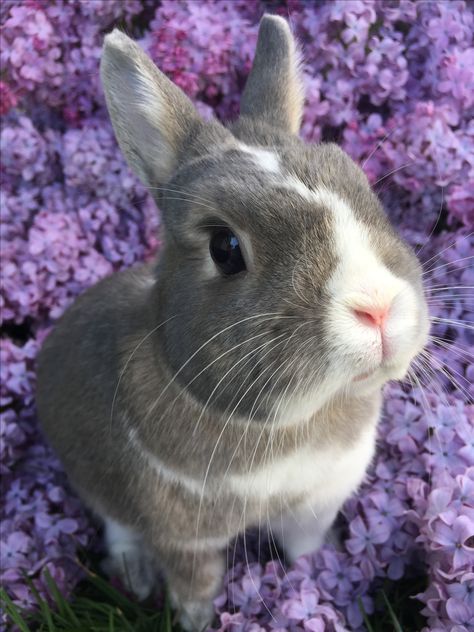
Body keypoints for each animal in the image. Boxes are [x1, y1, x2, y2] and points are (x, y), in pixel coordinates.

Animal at [36, 14, 430, 632]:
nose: (379, 307)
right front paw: (199, 621)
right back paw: (134, 573)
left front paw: (317, 582)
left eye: (358, 184)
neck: (290, 425)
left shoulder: (315, 505)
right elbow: (196, 588)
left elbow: (306, 551)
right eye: (225, 247)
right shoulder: (184, 539)